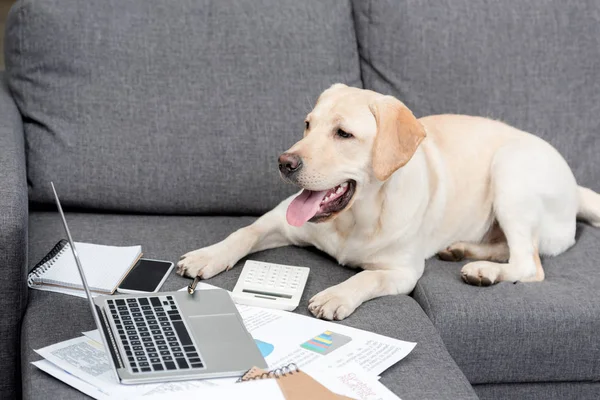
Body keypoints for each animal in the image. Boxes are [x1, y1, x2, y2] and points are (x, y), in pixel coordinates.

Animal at [176, 85, 600, 322]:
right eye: (308, 125)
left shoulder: (402, 272)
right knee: (507, 248)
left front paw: (336, 295)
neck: (354, 218)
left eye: (343, 134)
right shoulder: (280, 219)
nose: (285, 162)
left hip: (510, 171)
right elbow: (243, 231)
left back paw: (483, 271)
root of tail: (576, 184)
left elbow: (367, 276)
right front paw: (206, 256)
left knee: (529, 263)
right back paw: (464, 251)